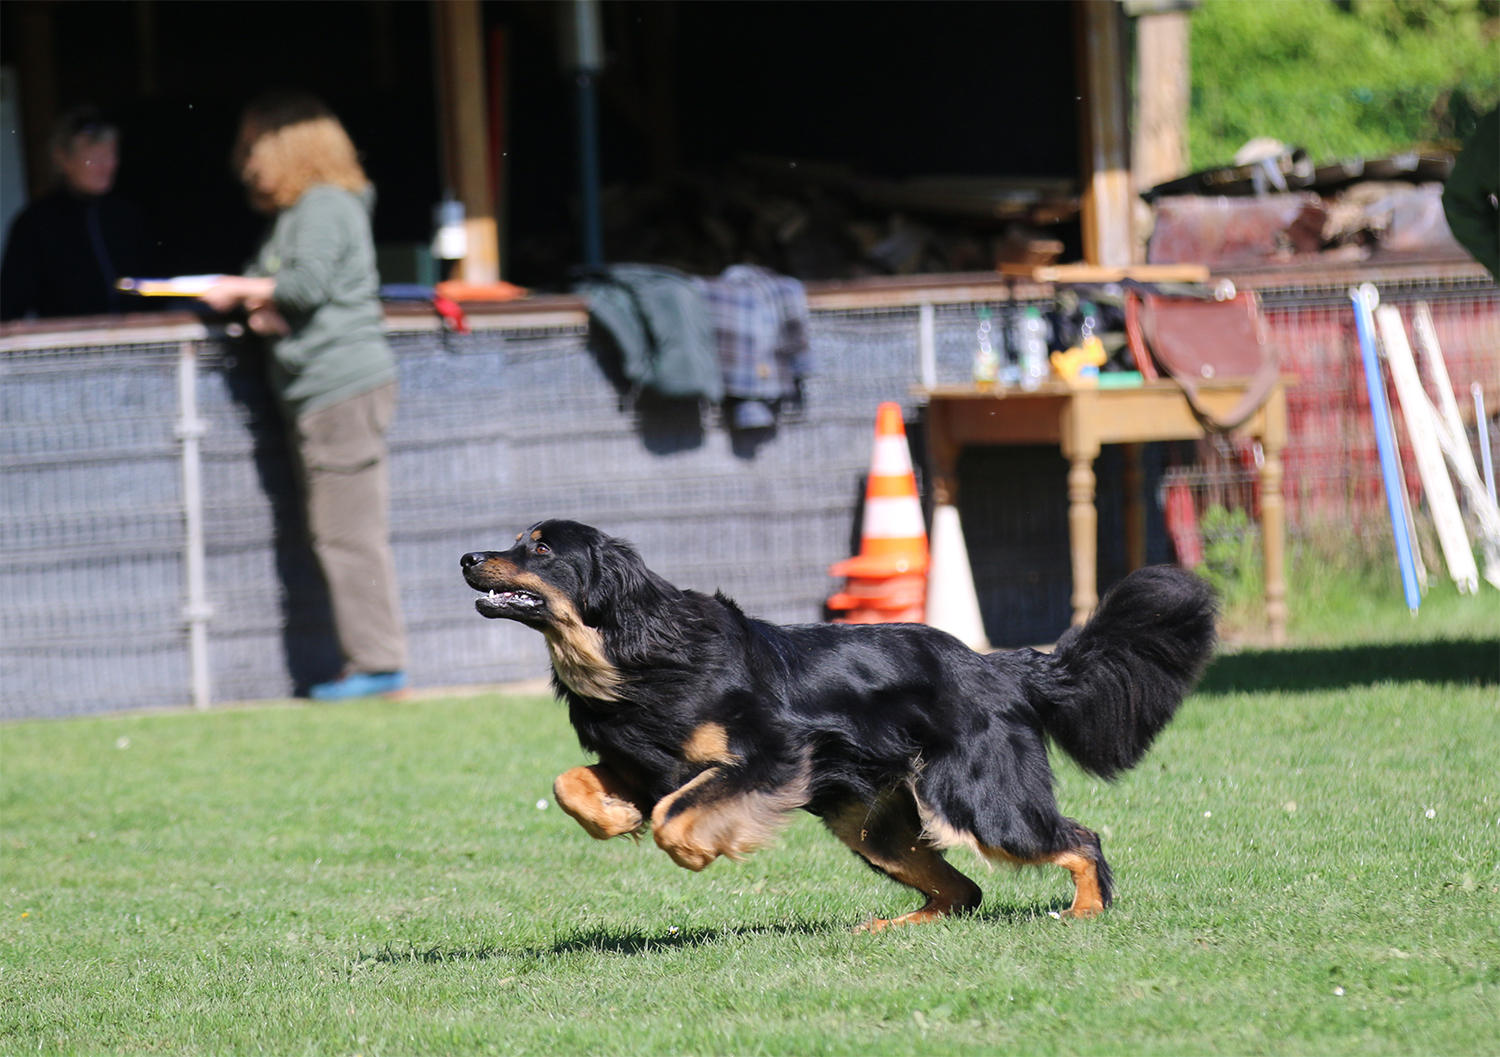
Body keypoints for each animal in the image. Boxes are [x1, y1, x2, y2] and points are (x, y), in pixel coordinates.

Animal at [461, 520, 1216, 931]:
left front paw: (695, 850)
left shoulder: (772, 755)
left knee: (1079, 840)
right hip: (871, 824)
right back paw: (892, 926)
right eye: (514, 541)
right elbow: (570, 784)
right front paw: (614, 819)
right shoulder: (642, 762)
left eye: (540, 549)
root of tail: (1002, 667)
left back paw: (1085, 910)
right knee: (964, 890)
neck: (633, 648)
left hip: (978, 797)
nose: (468, 557)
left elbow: (678, 813)